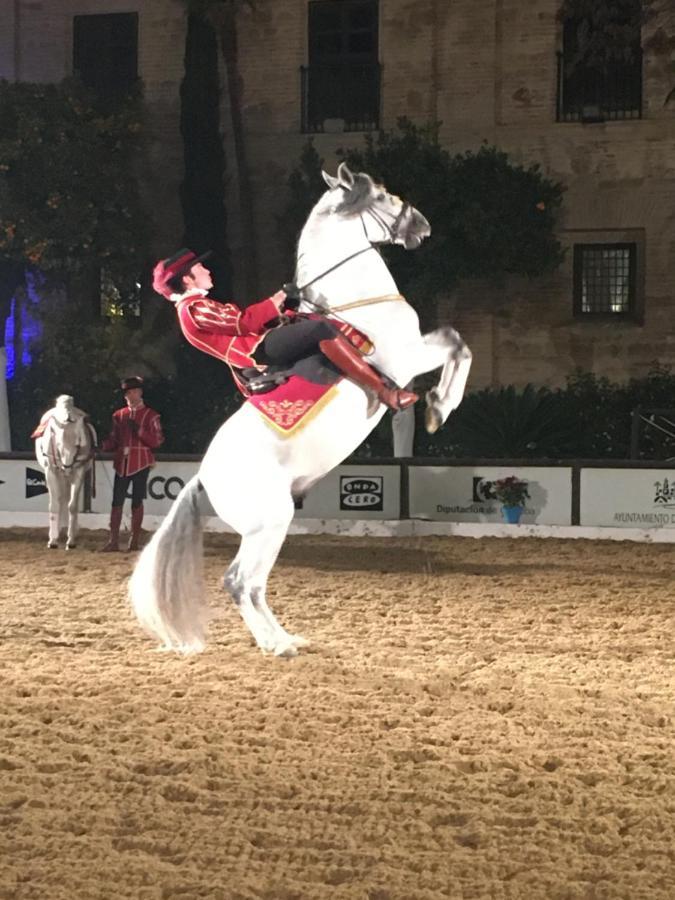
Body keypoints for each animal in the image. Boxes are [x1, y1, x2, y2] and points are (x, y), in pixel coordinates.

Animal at [131, 163, 470, 652]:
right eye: (384, 195)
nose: (421, 226)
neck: (356, 303)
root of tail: (202, 478)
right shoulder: (406, 358)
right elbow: (458, 345)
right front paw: (438, 407)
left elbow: (455, 342)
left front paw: (435, 405)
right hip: (269, 522)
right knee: (239, 581)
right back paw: (277, 645)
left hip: (269, 527)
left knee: (254, 586)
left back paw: (285, 638)